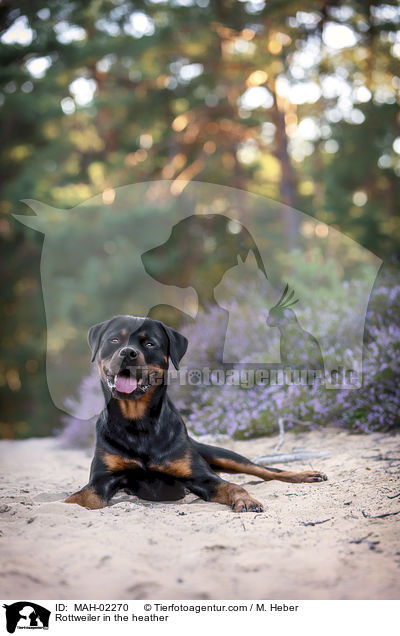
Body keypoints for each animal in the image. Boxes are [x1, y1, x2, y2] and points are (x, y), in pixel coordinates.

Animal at [65, 316, 326, 512]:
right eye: (114, 339)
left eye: (149, 344)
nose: (128, 353)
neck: (137, 422)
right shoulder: (102, 480)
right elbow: (76, 499)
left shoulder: (201, 477)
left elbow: (233, 486)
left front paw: (246, 499)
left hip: (223, 455)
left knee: (265, 470)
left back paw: (307, 474)